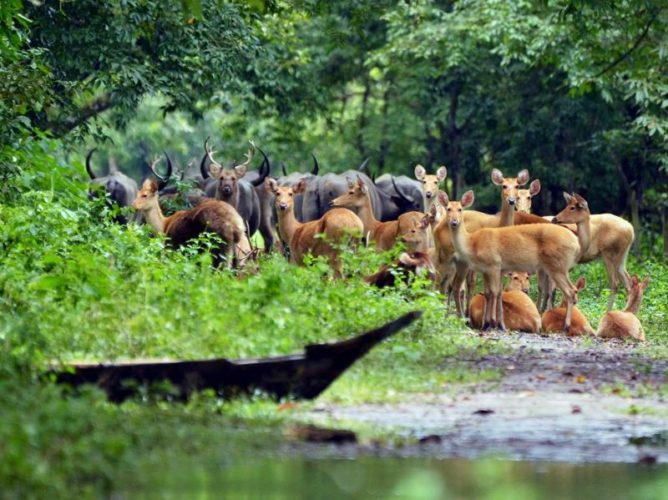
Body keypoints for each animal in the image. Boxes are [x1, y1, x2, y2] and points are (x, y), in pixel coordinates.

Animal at [438, 191, 580, 332]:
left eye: (460, 209)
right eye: (448, 208)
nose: (454, 222)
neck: (471, 243)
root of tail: (576, 242)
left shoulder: (494, 264)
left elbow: (494, 292)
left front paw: (491, 324)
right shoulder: (488, 270)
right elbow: (491, 293)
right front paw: (494, 324)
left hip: (556, 266)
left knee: (569, 291)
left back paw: (566, 327)